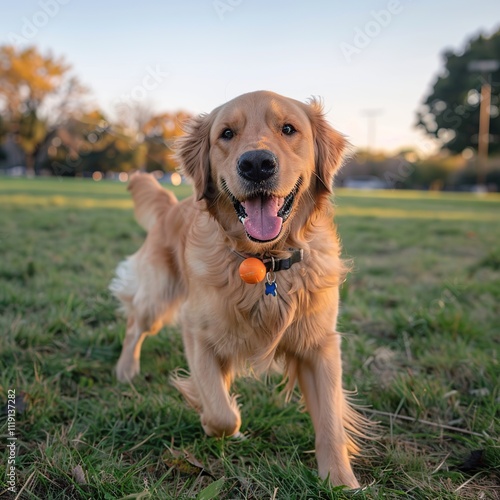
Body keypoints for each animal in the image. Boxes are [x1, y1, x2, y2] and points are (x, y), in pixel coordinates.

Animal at [110, 91, 368, 488]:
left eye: (288, 129)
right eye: (227, 134)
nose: (257, 164)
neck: (265, 264)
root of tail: (172, 206)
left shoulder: (319, 345)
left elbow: (330, 422)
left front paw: (340, 481)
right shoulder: (198, 333)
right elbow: (221, 414)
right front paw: (213, 418)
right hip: (158, 298)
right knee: (135, 325)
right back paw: (126, 368)